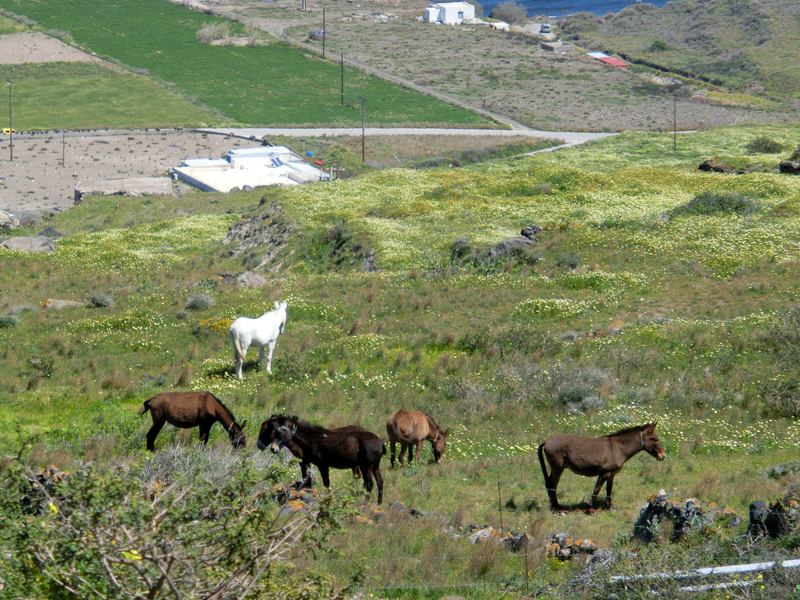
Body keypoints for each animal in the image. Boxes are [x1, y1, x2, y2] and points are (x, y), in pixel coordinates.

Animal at [258, 414, 386, 504]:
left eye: (281, 431)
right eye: (275, 431)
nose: (273, 448)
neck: (312, 439)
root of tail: (380, 441)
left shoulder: (321, 465)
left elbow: (325, 483)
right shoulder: (309, 463)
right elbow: (310, 479)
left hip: (366, 467)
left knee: (369, 483)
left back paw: (365, 502)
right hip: (375, 466)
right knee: (379, 481)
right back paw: (378, 503)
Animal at [536, 422, 668, 510]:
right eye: (654, 439)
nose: (663, 456)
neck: (618, 449)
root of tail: (547, 441)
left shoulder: (611, 474)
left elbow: (609, 489)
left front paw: (608, 507)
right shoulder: (604, 473)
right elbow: (597, 489)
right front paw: (590, 508)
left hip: (556, 468)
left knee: (549, 483)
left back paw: (554, 506)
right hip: (558, 468)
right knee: (552, 485)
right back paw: (556, 507)